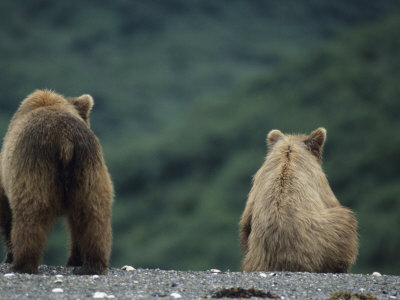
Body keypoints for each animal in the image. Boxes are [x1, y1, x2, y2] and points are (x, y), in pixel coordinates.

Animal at [0, 89, 114, 274]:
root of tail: (65, 141)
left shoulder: (6, 176)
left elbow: (6, 213)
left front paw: (9, 255)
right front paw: (76, 259)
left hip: (35, 166)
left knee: (30, 214)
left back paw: (22, 265)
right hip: (88, 169)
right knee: (93, 215)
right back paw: (91, 265)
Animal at [241, 127, 360, 274]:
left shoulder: (257, 185)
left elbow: (245, 222)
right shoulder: (319, 181)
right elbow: (329, 201)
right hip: (324, 239)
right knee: (346, 221)